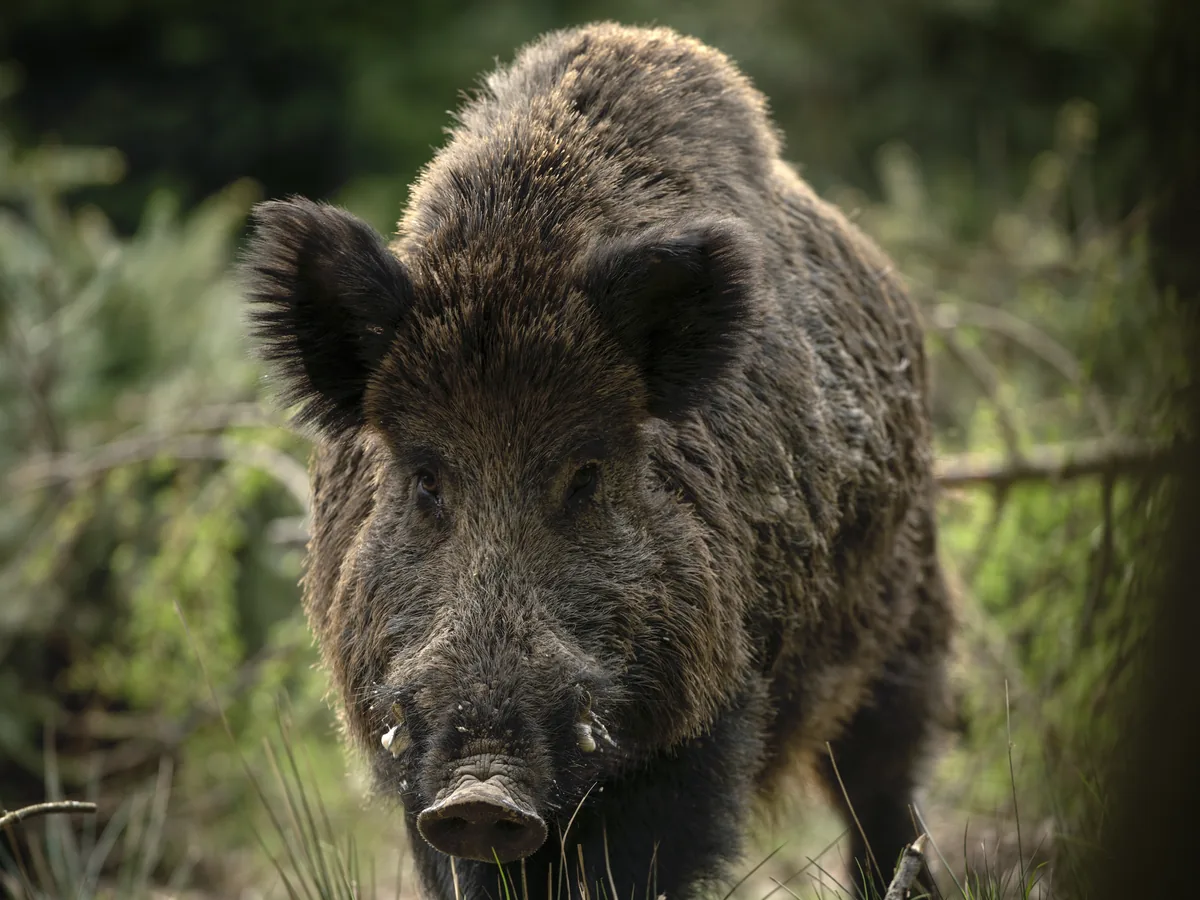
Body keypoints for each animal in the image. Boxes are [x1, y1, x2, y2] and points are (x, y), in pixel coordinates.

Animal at [241, 21, 952, 900]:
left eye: (585, 476)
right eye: (425, 480)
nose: (483, 793)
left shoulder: (706, 711)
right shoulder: (403, 740)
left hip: (906, 626)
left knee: (883, 790)